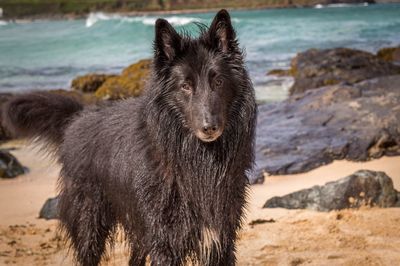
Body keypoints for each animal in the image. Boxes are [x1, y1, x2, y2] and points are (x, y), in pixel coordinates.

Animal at [2, 9, 256, 264]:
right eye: (185, 86)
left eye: (218, 82)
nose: (209, 127)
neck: (195, 159)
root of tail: (78, 118)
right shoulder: (165, 242)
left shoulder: (221, 239)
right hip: (90, 224)